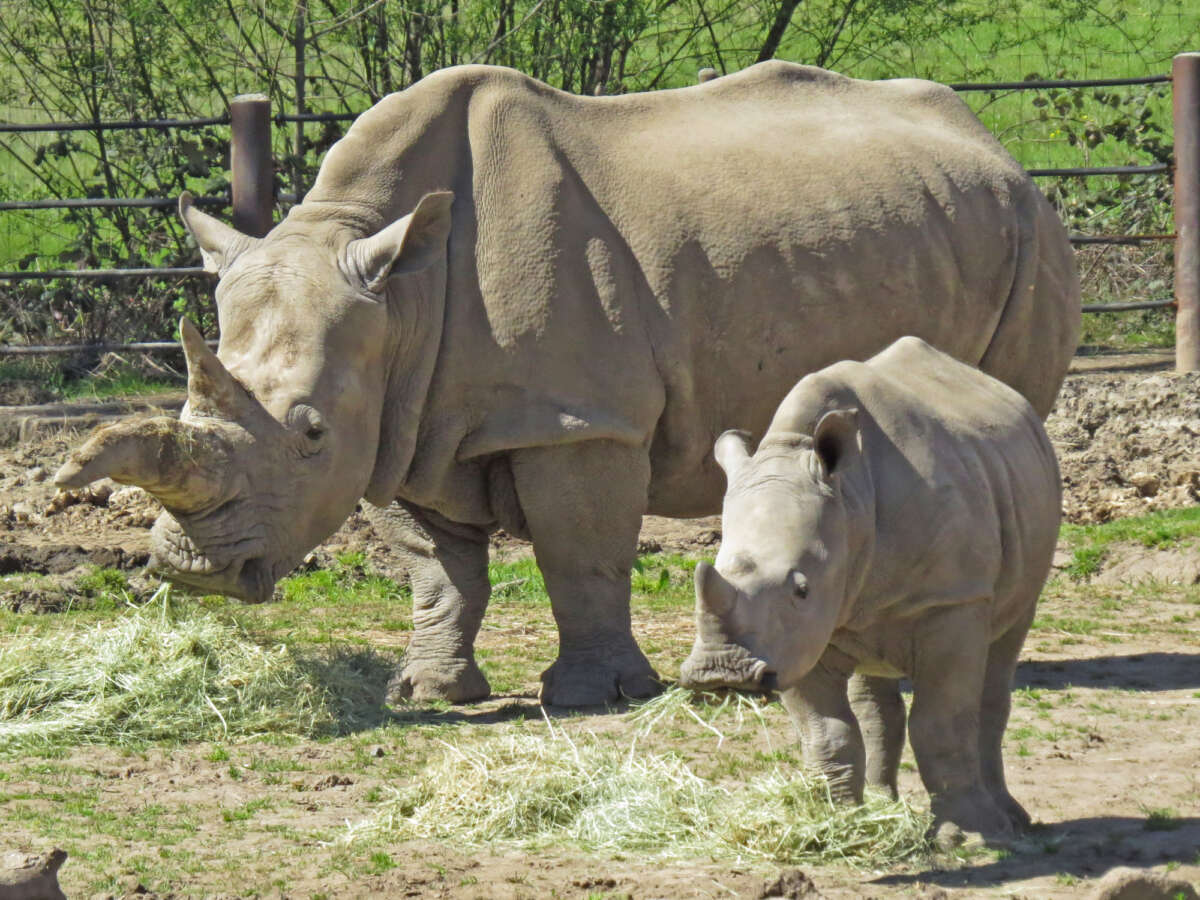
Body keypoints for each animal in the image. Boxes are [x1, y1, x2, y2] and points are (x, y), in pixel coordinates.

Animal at [53, 61, 1079, 707]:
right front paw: (426, 691)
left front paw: (598, 697)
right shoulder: (401, 419)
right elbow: (439, 570)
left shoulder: (576, 420)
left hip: (1031, 228)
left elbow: (579, 555)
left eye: (307, 432)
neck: (396, 290)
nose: (192, 570)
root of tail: (993, 142)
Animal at [677, 337, 1061, 842]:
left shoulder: (952, 600)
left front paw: (969, 838)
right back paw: (884, 807)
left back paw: (1011, 823)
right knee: (875, 694)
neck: (850, 498)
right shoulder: (793, 640)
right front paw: (838, 823)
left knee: (1003, 652)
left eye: (801, 588)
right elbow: (826, 730)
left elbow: (942, 722)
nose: (720, 672)